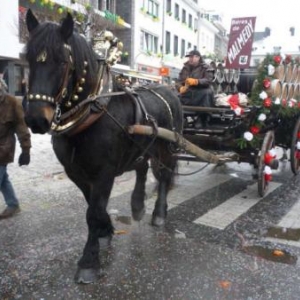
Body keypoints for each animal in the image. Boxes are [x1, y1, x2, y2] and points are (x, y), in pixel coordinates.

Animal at [24, 8, 183, 282]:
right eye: (28, 59)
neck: (91, 113)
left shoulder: (104, 173)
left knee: (163, 176)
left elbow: (93, 212)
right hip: (142, 147)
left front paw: (89, 260)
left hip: (167, 148)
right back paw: (138, 206)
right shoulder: (76, 172)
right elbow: (92, 206)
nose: (36, 119)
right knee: (142, 170)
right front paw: (105, 231)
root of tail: (169, 90)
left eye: (63, 62)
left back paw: (159, 214)